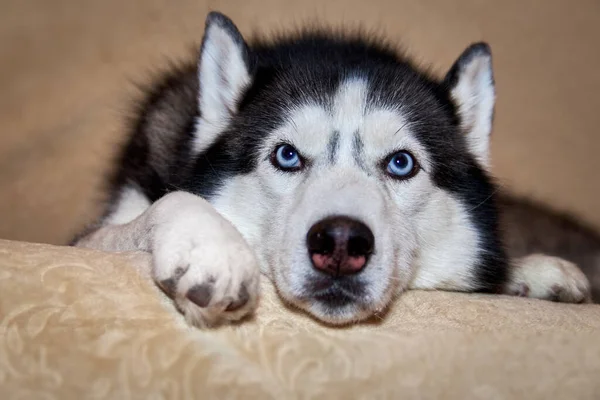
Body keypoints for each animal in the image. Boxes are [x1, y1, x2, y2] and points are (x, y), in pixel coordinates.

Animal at [72, 11, 596, 328]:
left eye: (401, 163)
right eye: (286, 155)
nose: (341, 243)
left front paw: (531, 270)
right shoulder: (93, 234)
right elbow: (169, 201)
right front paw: (212, 247)